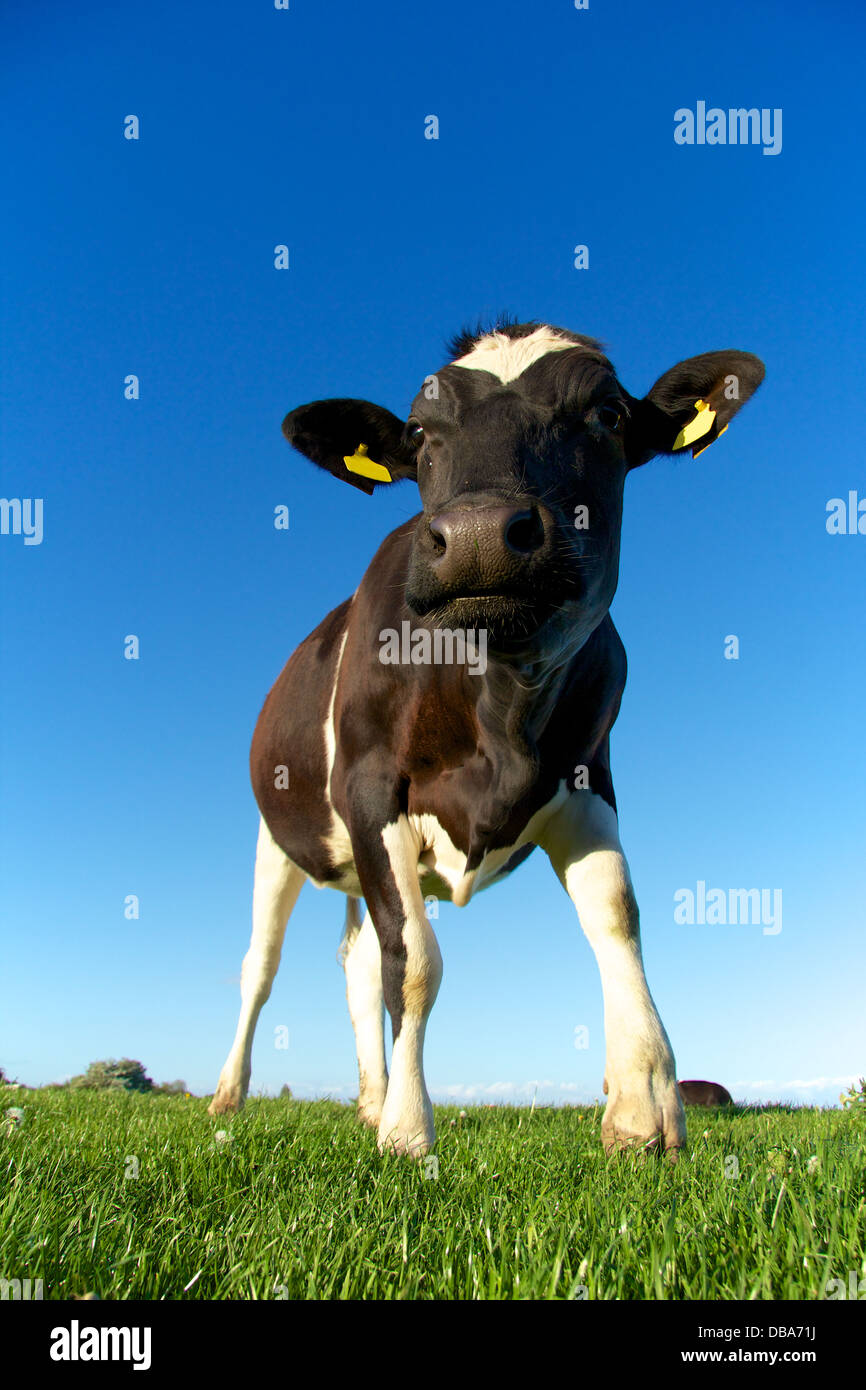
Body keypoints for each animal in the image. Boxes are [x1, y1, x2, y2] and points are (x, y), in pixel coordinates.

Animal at [209, 319, 767, 1156]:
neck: (500, 703)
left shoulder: (587, 781)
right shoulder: (370, 789)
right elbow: (414, 963)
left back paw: (369, 1098)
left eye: (607, 414)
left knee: (358, 964)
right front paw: (410, 1131)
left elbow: (616, 917)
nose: (477, 537)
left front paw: (644, 1103)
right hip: (280, 837)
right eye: (418, 434)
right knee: (264, 966)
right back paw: (230, 1096)